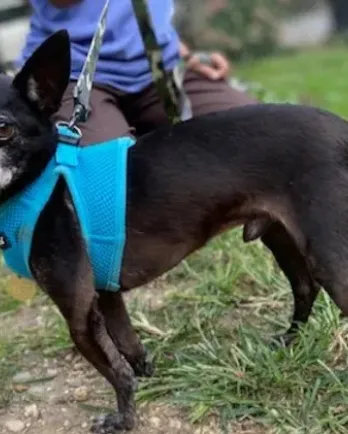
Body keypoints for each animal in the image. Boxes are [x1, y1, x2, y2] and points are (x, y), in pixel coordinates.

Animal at [1, 30, 346, 430]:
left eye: (4, 129)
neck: (42, 181)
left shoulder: (80, 316)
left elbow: (116, 372)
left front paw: (124, 420)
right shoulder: (107, 297)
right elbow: (130, 350)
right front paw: (149, 377)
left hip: (329, 256)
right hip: (280, 235)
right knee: (305, 288)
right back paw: (288, 341)